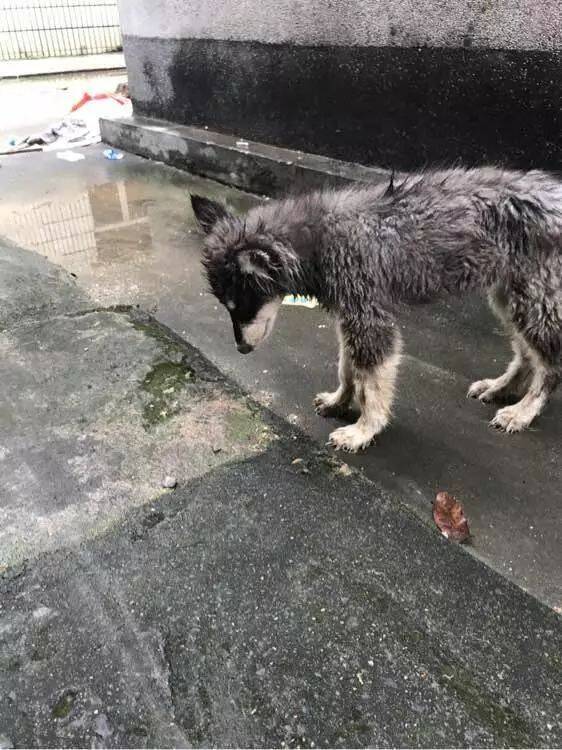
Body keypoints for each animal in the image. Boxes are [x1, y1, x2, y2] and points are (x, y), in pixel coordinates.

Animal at [190, 167, 556, 452]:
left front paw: (365, 429)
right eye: (227, 306)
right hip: (509, 296)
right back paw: (502, 388)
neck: (318, 239)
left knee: (549, 366)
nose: (241, 348)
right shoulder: (350, 316)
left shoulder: (369, 320)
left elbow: (372, 383)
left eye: (241, 305)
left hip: (536, 301)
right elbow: (348, 368)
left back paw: (523, 411)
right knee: (526, 354)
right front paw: (340, 401)